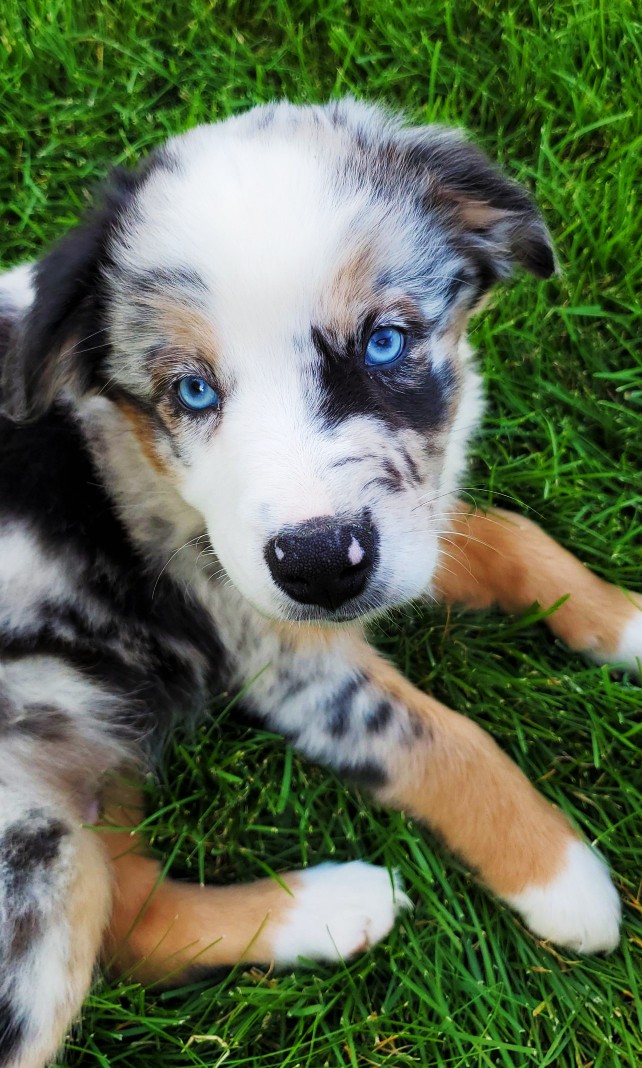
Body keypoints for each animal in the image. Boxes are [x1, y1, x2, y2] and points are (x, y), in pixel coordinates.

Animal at [0, 100, 636, 1068]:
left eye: (385, 341)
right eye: (191, 391)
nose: (318, 564)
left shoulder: (401, 529)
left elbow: (512, 540)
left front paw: (627, 622)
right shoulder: (281, 650)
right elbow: (448, 744)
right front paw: (565, 882)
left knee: (130, 919)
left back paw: (334, 912)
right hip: (25, 847)